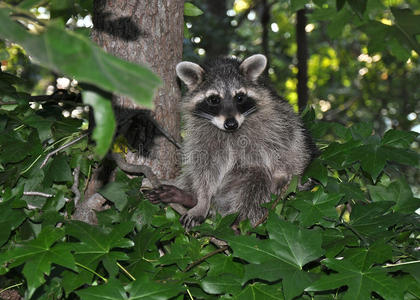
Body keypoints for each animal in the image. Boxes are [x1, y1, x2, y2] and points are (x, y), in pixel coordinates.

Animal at [148, 54, 316, 229]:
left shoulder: (277, 115)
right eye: (214, 99)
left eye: (240, 97)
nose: (231, 124)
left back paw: (239, 220)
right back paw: (190, 198)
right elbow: (203, 166)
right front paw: (202, 200)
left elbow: (292, 143)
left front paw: (283, 175)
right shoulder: (201, 135)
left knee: (258, 177)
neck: (231, 132)